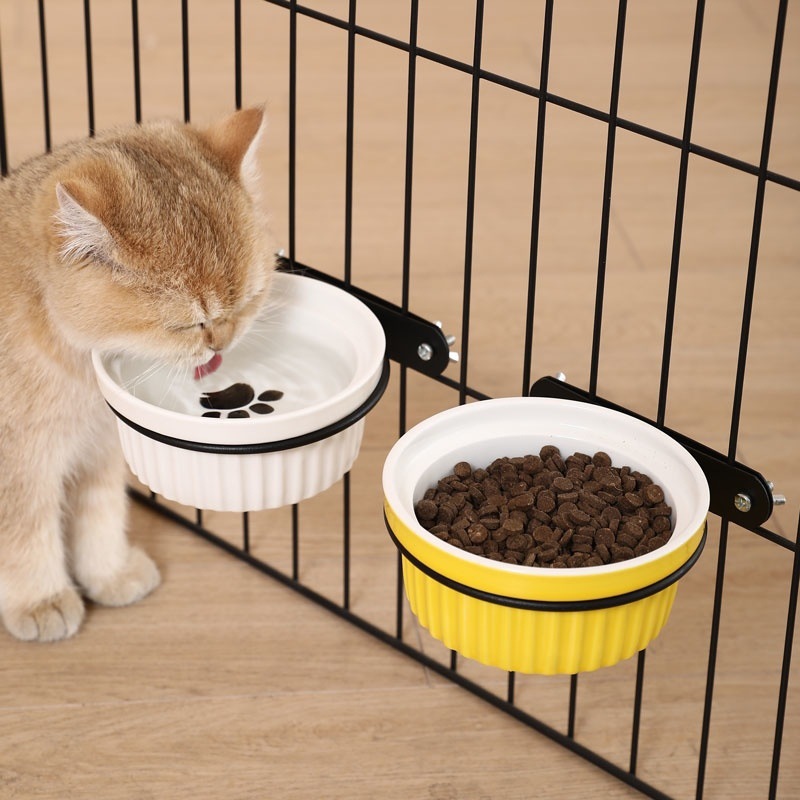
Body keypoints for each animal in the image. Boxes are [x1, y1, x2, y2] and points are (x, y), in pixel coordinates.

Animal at [0, 106, 275, 642]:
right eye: (190, 324)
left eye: (248, 301)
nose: (223, 341)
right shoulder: (19, 467)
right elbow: (26, 534)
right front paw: (41, 600)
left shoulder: (101, 448)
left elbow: (100, 514)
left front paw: (109, 574)